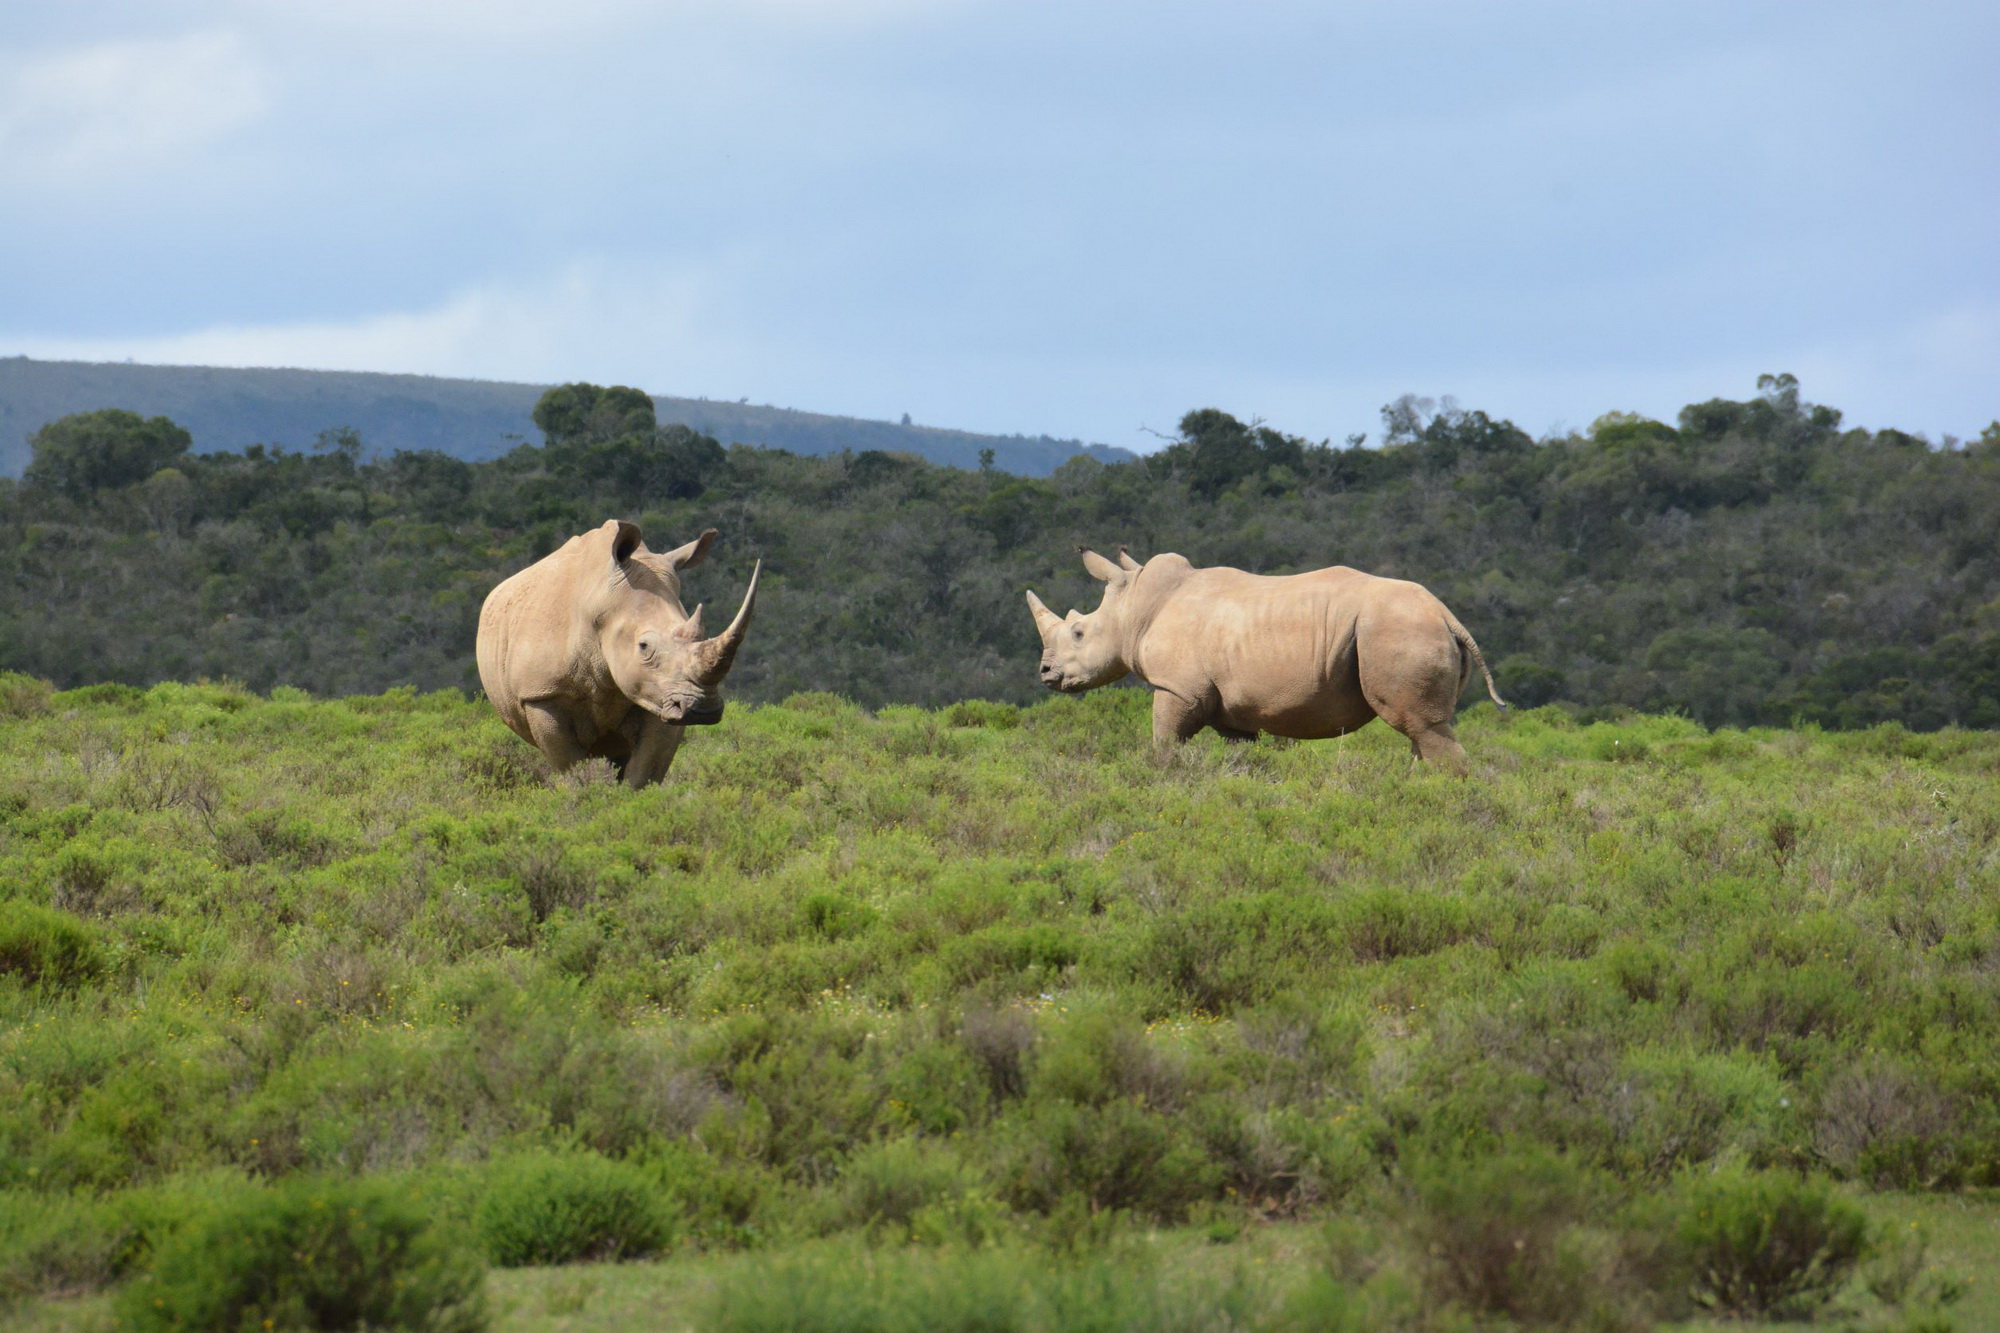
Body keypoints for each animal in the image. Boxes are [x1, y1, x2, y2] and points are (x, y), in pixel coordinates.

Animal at [480, 516, 760, 788]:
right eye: (644, 646)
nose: (703, 708)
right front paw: (586, 797)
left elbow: (645, 772)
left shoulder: (659, 694)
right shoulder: (542, 694)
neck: (601, 604)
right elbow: (571, 770)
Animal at [1032, 544, 1504, 768]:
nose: (1045, 673)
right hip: (1408, 629)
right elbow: (1241, 752)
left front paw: (1162, 773)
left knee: (1421, 726)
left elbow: (1165, 740)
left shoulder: (1179, 687)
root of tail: (1445, 614)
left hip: (1395, 629)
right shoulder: (1230, 707)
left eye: (1078, 633)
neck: (1135, 609)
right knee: (1423, 731)